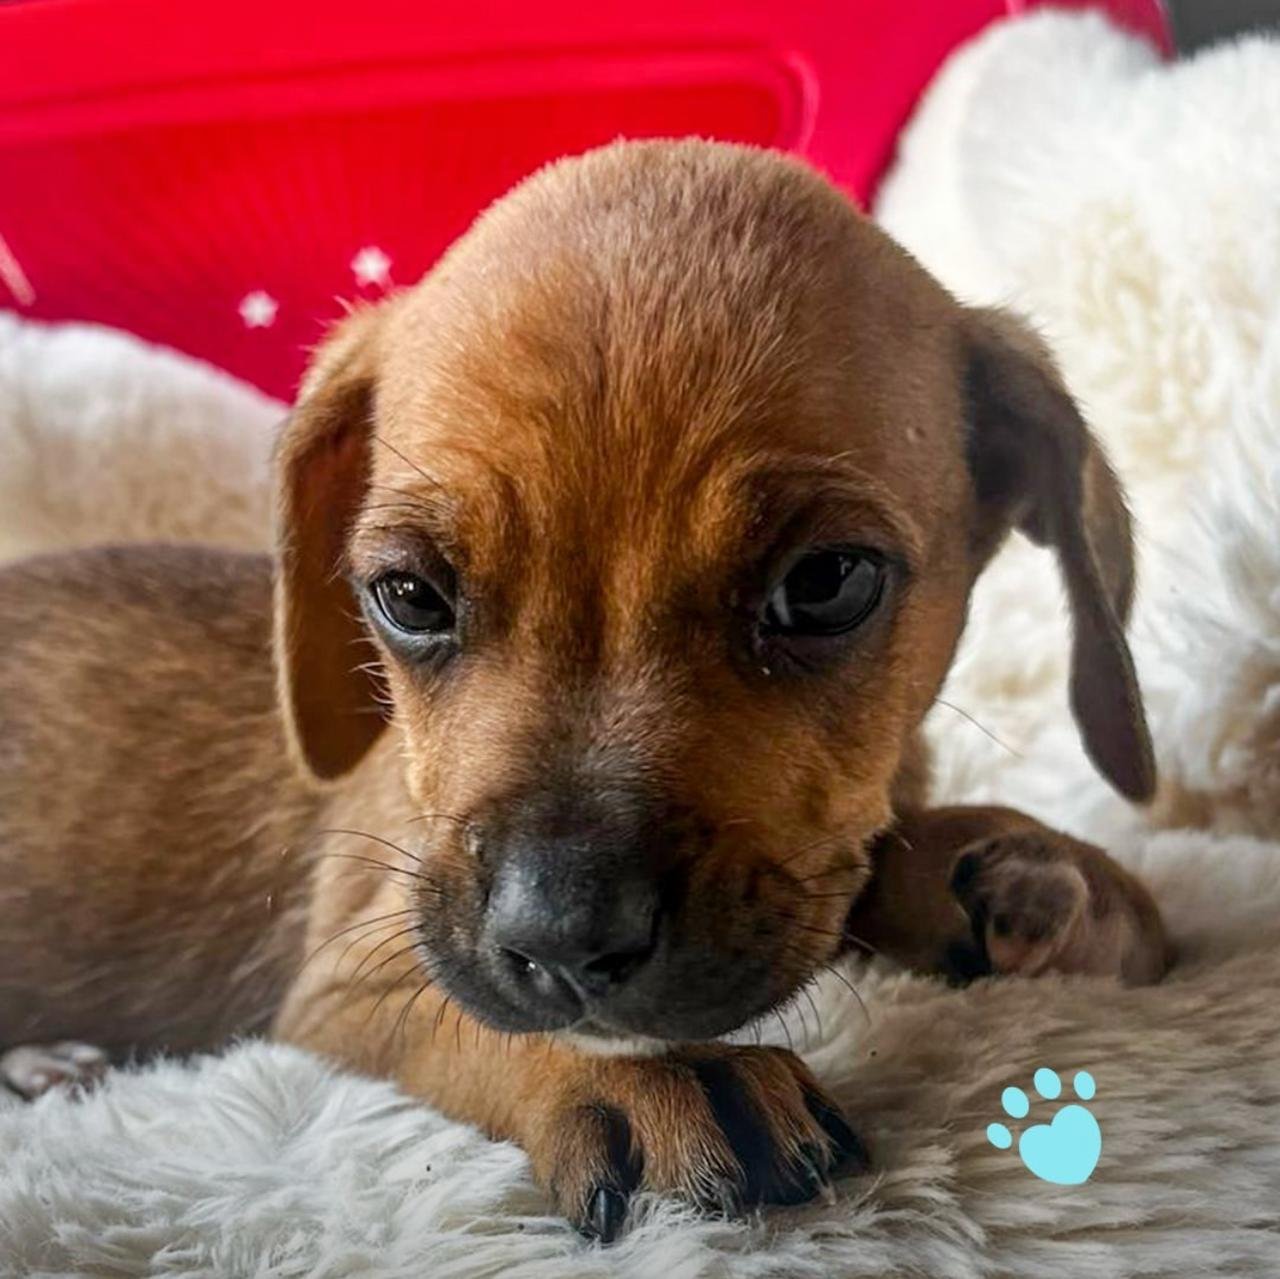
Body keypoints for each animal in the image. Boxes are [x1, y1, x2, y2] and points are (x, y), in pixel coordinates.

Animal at [0, 137, 1172, 1239]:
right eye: (409, 595)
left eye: (827, 582)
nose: (560, 938)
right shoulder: (351, 976)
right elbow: (473, 1018)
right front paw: (647, 1076)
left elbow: (858, 863)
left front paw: (1026, 859)